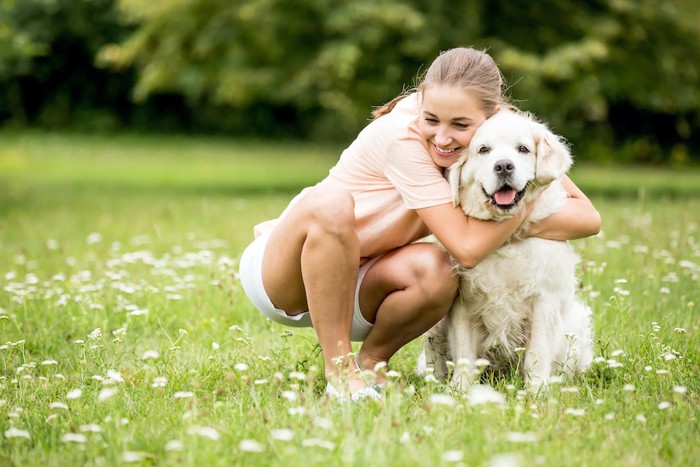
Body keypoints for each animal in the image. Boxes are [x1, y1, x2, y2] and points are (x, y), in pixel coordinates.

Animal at [418, 109, 592, 392]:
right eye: (483, 150)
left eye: (523, 149)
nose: (503, 166)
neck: (501, 239)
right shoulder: (462, 303)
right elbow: (464, 351)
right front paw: (460, 390)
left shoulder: (544, 299)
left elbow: (537, 352)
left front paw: (536, 391)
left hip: (576, 321)